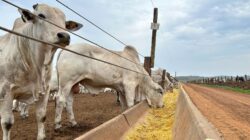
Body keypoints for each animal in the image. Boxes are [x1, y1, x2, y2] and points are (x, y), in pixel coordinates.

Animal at [0, 3, 82, 139]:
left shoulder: (44, 91)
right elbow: (7, 123)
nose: (64, 36)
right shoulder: (6, 92)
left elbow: (41, 116)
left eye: (65, 23)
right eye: (41, 15)